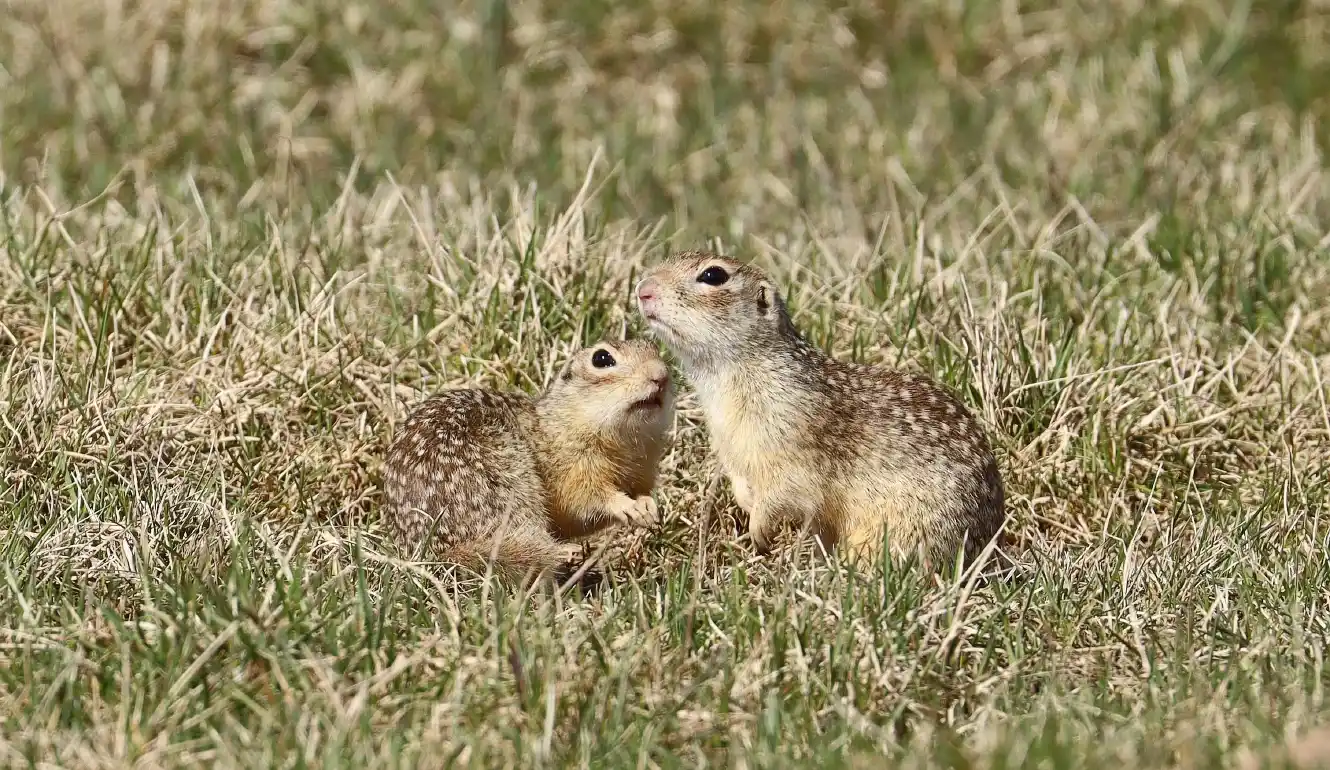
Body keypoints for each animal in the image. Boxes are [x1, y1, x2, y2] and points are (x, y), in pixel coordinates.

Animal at [383, 337, 675, 585]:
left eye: (654, 346)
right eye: (602, 358)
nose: (661, 375)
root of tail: (441, 551)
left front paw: (648, 506)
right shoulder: (572, 469)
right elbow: (586, 499)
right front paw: (626, 506)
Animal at [638, 252, 1000, 571]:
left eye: (713, 275)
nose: (643, 289)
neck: (725, 380)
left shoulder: (792, 443)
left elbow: (783, 491)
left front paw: (759, 529)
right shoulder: (729, 446)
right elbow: (740, 479)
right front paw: (747, 505)